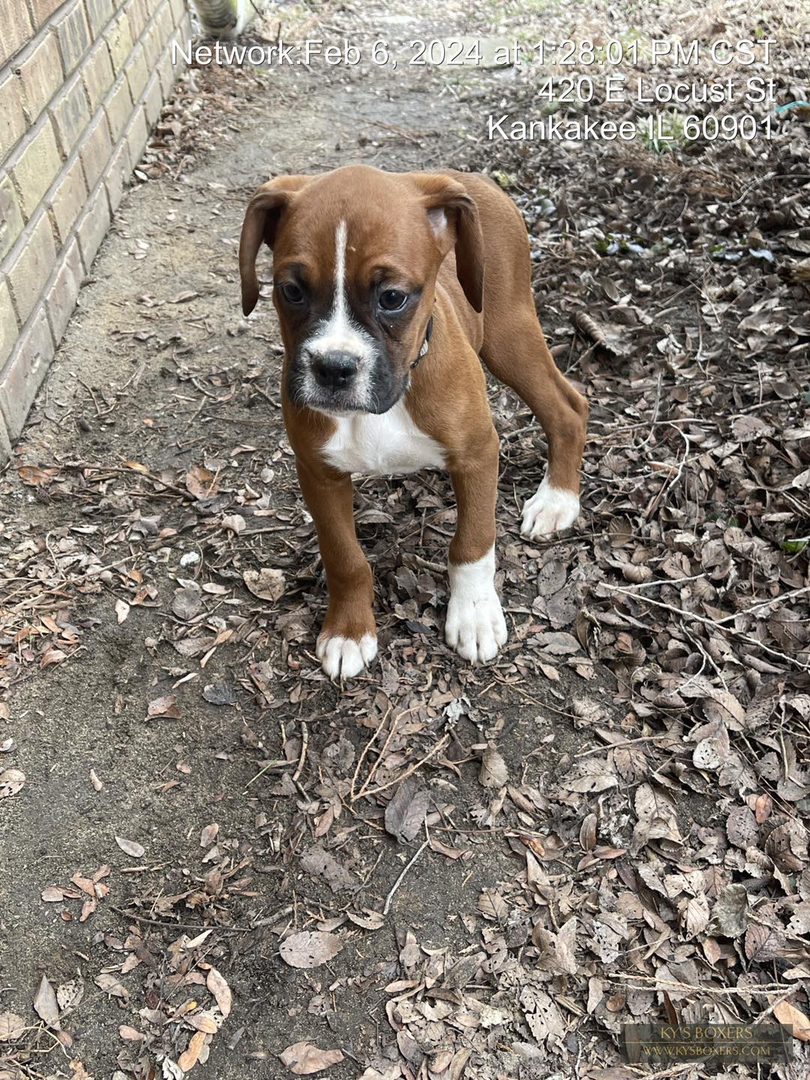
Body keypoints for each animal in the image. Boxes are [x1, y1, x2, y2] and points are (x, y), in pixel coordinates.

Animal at [237, 165, 587, 678]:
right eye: (292, 291)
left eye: (392, 298)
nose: (333, 368)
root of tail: (470, 178)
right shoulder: (318, 472)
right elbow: (344, 558)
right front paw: (348, 630)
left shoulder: (478, 452)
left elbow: (472, 544)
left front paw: (474, 615)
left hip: (508, 332)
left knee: (568, 407)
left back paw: (557, 500)